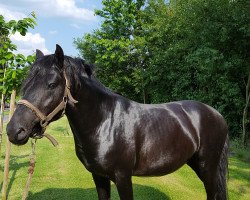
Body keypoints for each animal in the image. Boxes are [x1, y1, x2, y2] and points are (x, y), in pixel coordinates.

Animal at [6, 45, 229, 200]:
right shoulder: (99, 177)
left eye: (52, 84)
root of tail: (217, 115)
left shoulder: (123, 177)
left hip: (208, 167)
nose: (13, 130)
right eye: (26, 84)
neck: (105, 123)